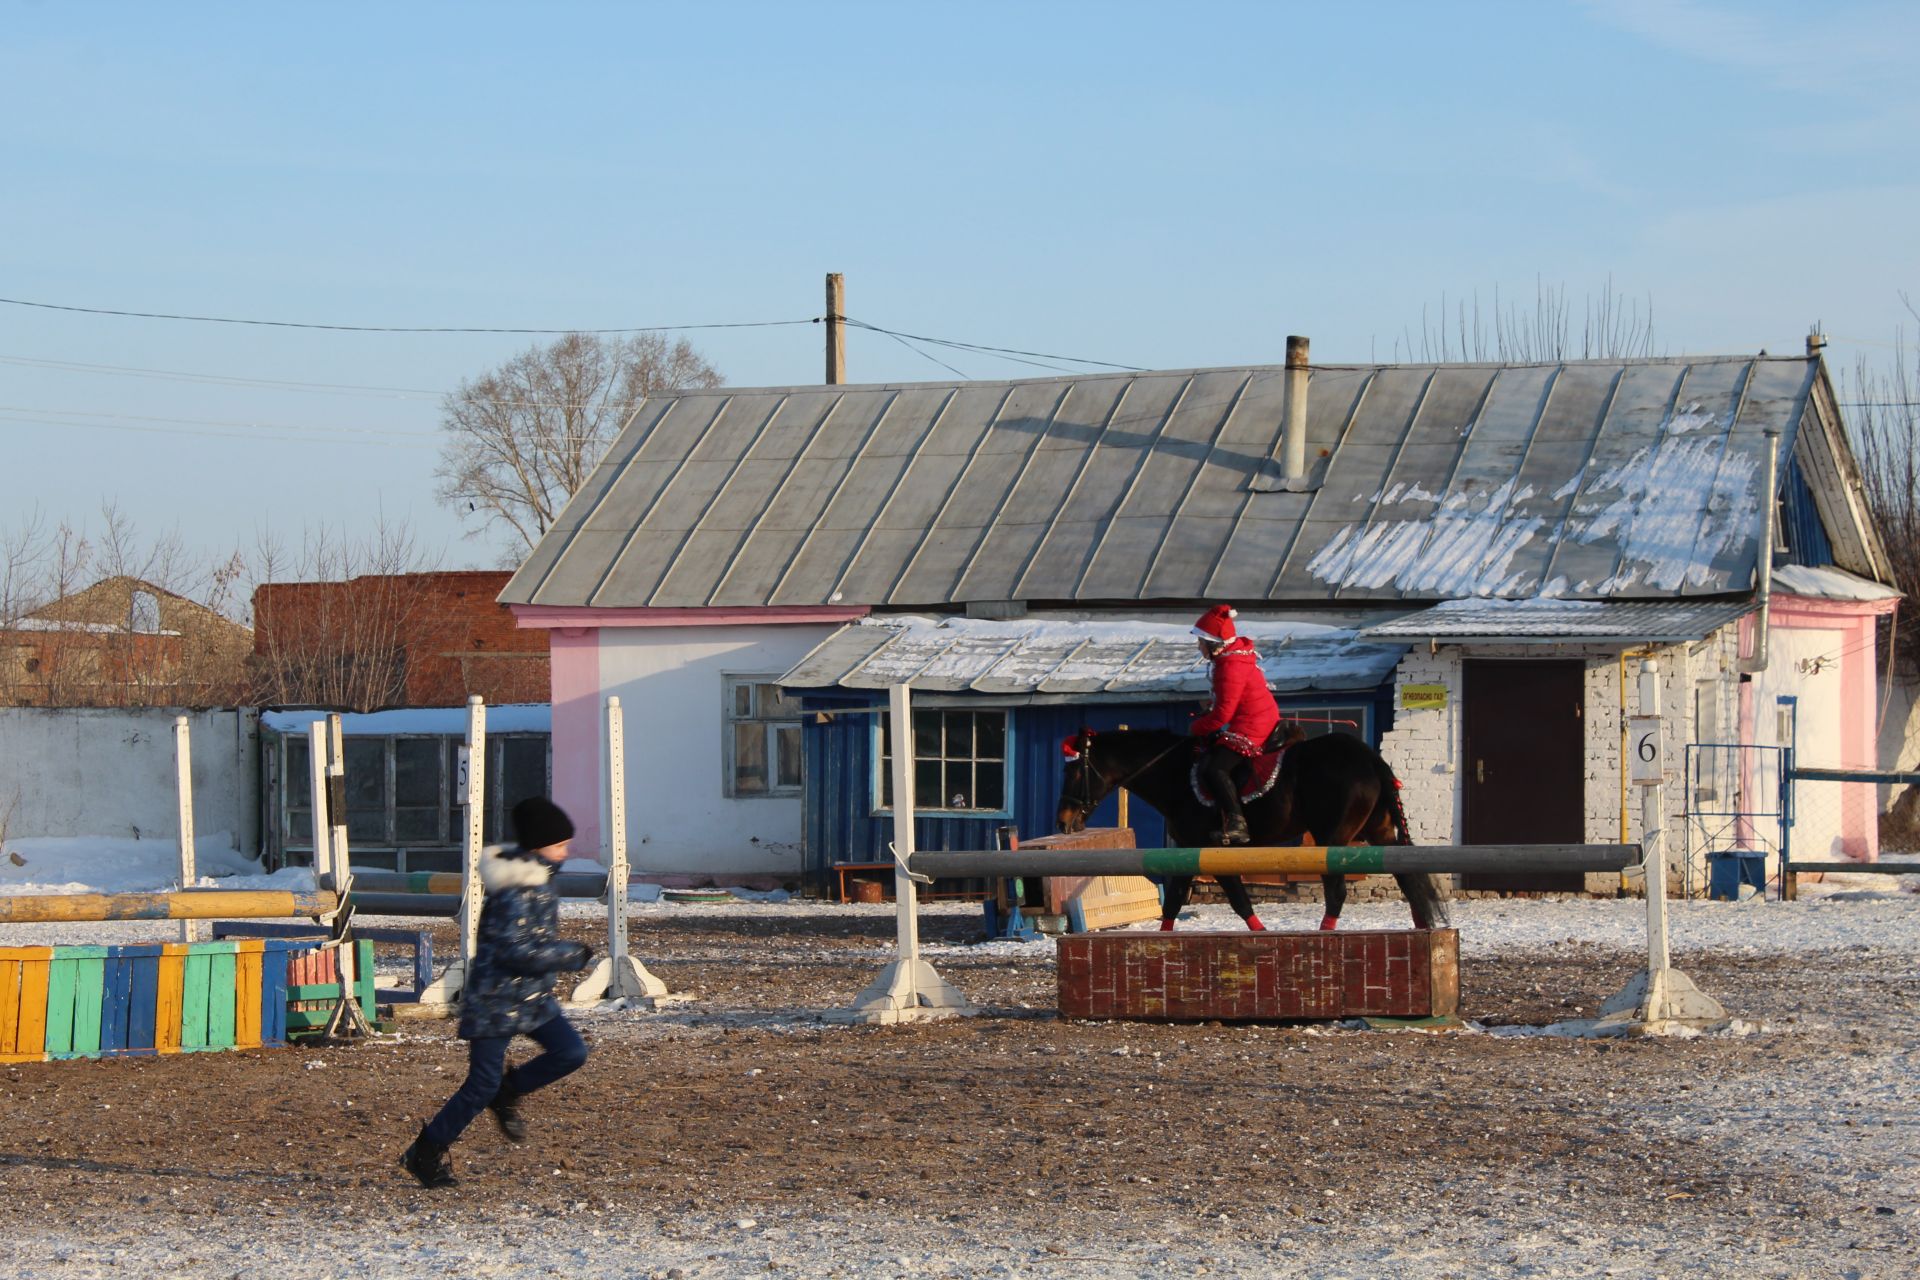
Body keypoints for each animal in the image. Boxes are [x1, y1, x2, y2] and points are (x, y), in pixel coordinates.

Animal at [1059, 729, 1443, 932]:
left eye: (1074, 771)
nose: (1063, 820)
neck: (1176, 776)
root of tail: (1368, 758)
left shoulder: (1212, 853)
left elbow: (1240, 901)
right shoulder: (1186, 852)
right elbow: (1172, 905)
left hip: (1331, 839)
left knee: (1337, 893)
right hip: (1380, 833)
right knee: (1408, 880)